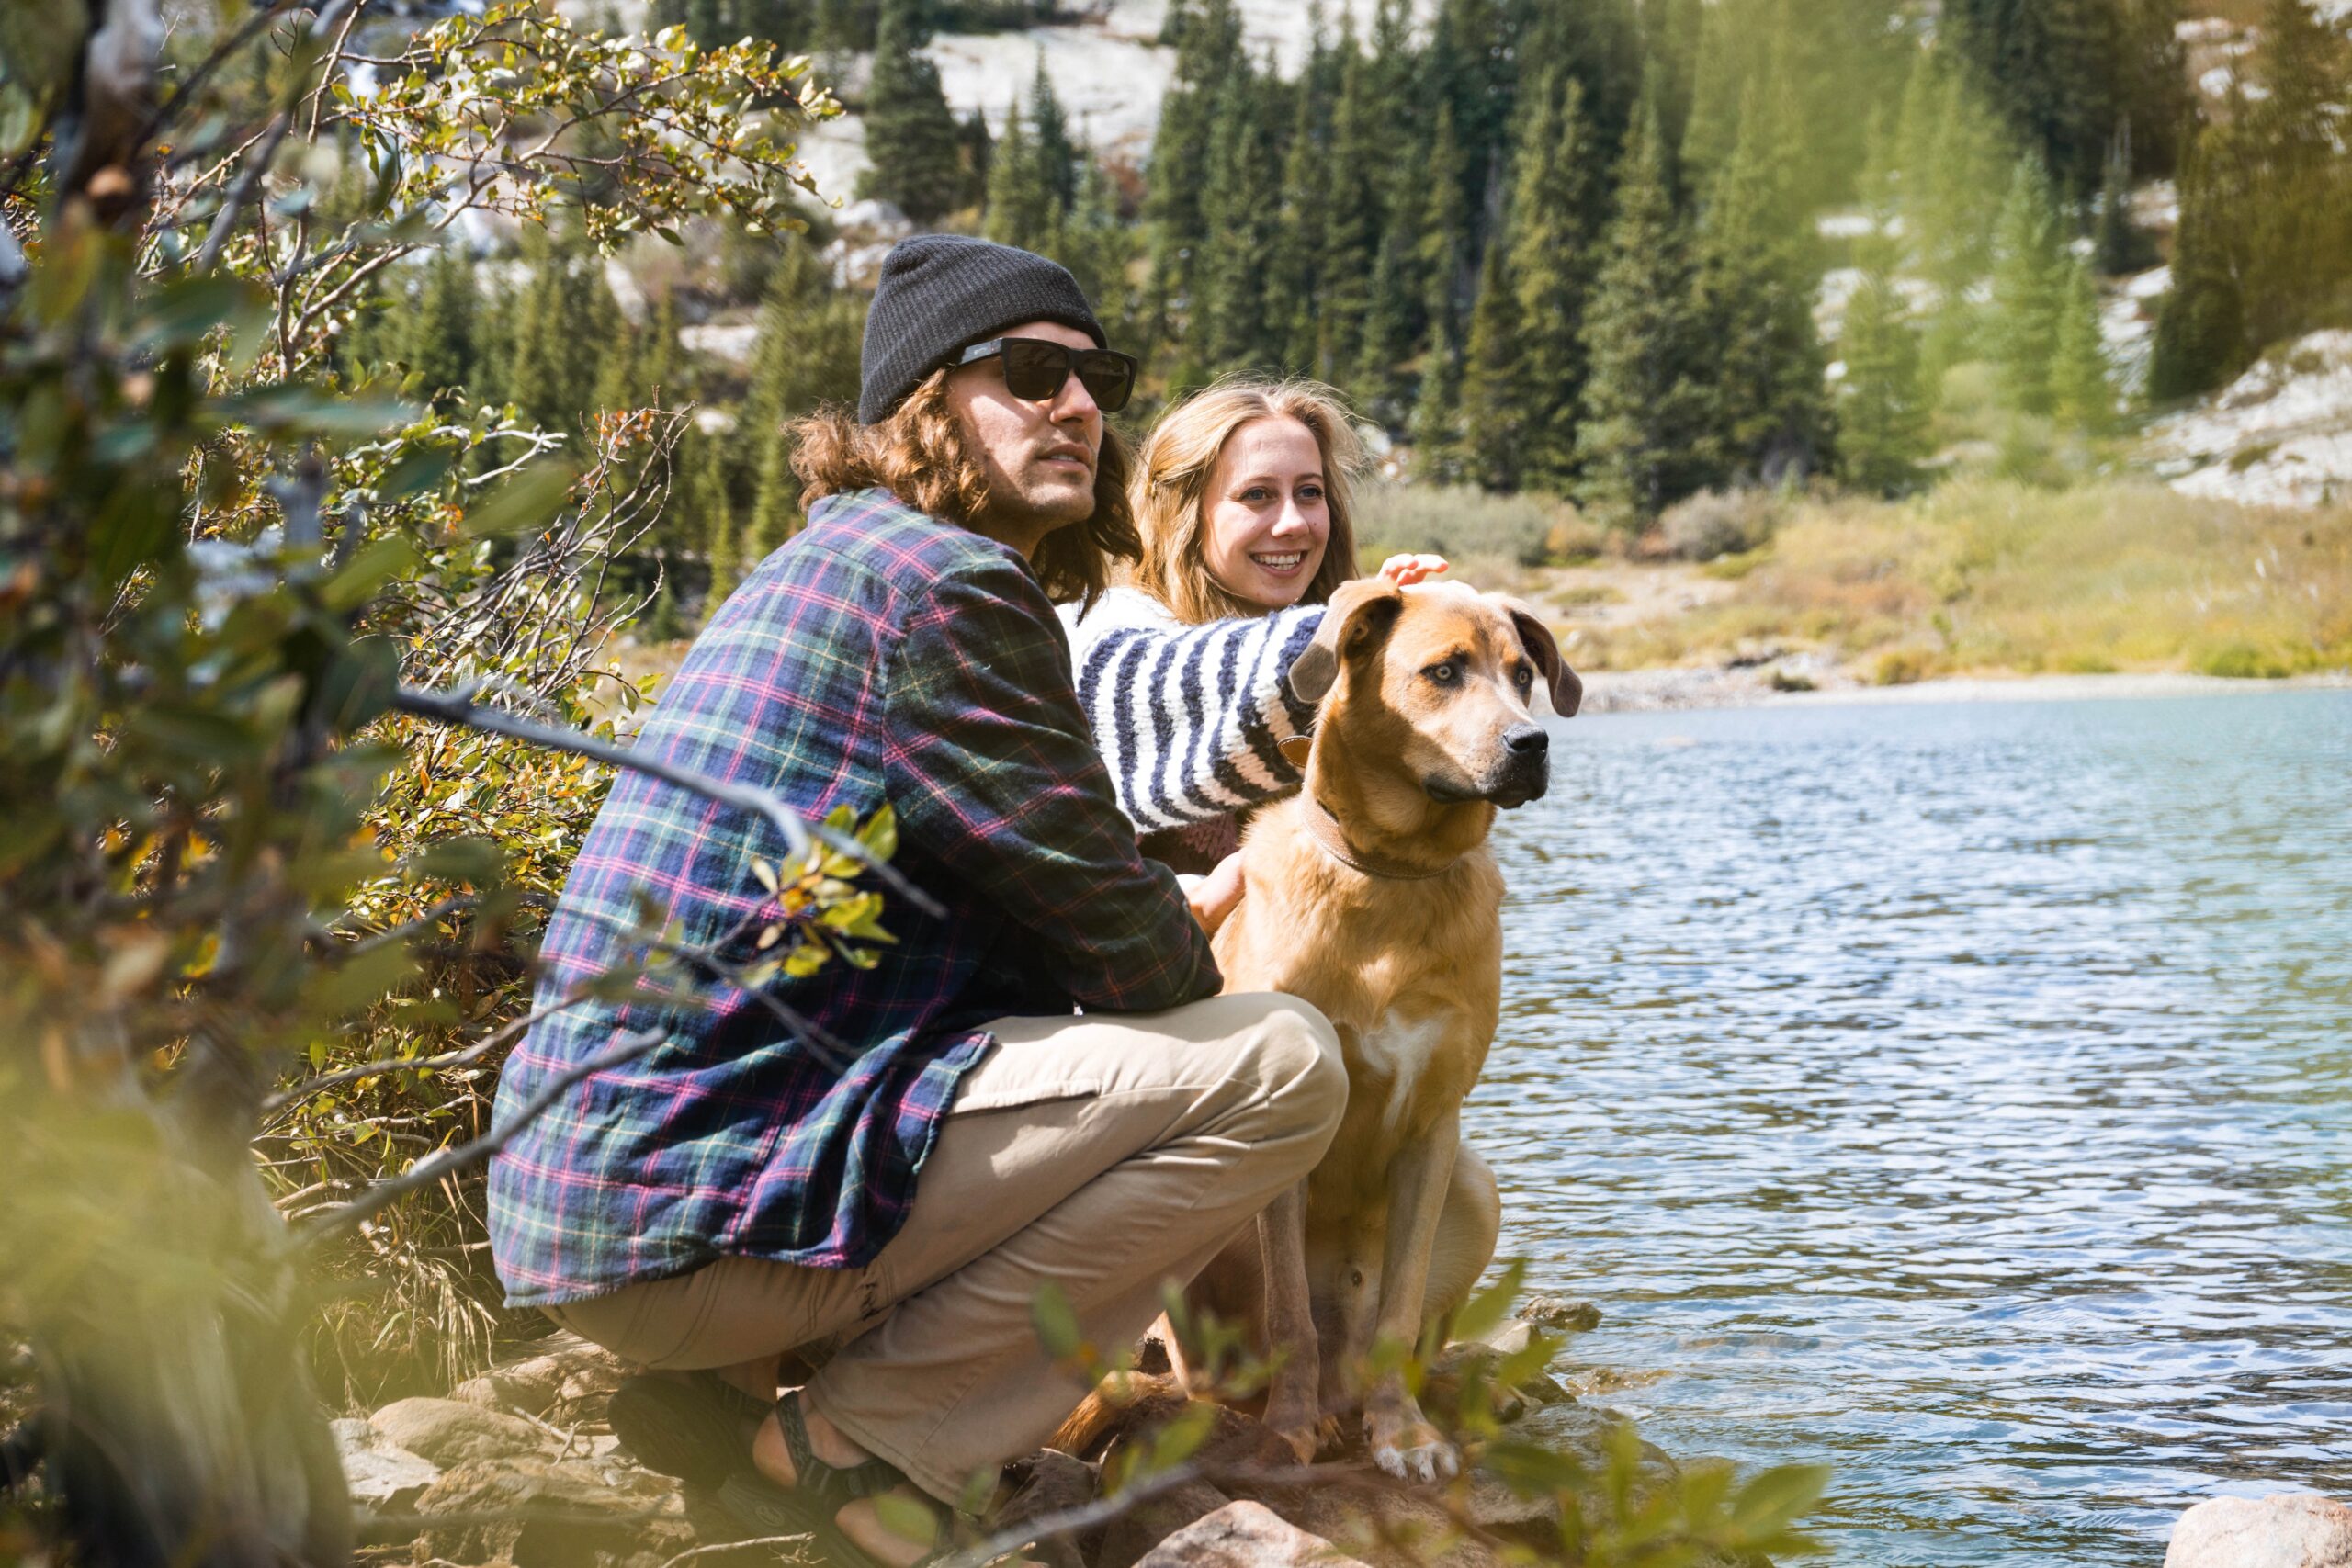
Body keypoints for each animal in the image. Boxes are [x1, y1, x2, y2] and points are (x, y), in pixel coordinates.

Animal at [1185, 581, 1589, 1485]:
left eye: (1523, 674)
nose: (1533, 743)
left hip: (1474, 1184)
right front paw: (1285, 1432)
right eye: (1443, 671)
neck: (1393, 881)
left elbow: (1398, 1314)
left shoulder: (1434, 1129)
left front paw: (1403, 1435)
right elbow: (1290, 1314)